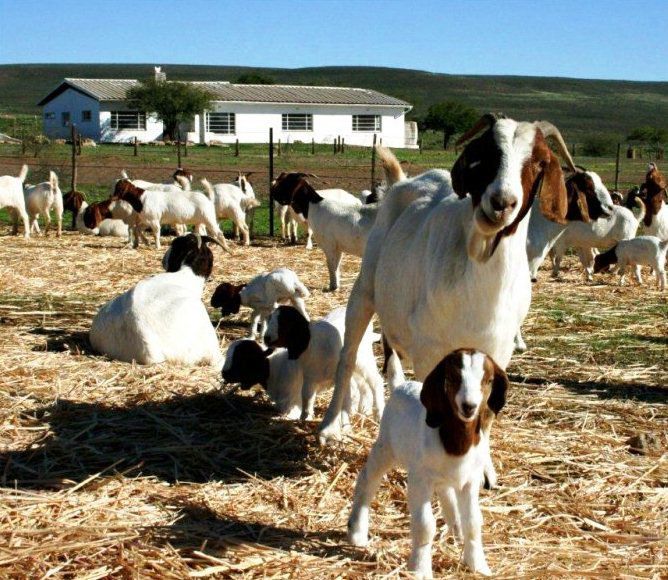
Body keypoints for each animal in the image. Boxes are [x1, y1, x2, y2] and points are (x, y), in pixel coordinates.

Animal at [223, 306, 384, 420]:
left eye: (242, 360)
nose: (224, 374)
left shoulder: (294, 398)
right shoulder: (308, 379)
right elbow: (308, 398)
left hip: (363, 360)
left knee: (375, 381)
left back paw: (377, 412)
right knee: (362, 385)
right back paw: (363, 409)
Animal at [318, 115, 584, 488]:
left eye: (539, 161)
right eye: (485, 152)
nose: (501, 202)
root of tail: (405, 182)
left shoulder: (497, 350)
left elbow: (486, 409)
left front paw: (483, 470)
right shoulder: (431, 349)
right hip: (365, 288)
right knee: (349, 355)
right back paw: (331, 425)